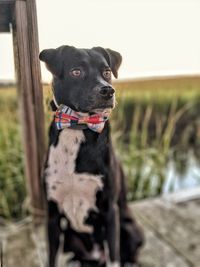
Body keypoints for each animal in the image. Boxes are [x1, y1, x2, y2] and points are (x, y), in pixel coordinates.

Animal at [39, 46, 144, 267]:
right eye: (76, 71)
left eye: (107, 72)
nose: (107, 91)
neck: (77, 127)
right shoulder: (52, 214)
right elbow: (52, 257)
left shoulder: (109, 211)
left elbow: (114, 257)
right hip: (70, 235)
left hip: (129, 229)